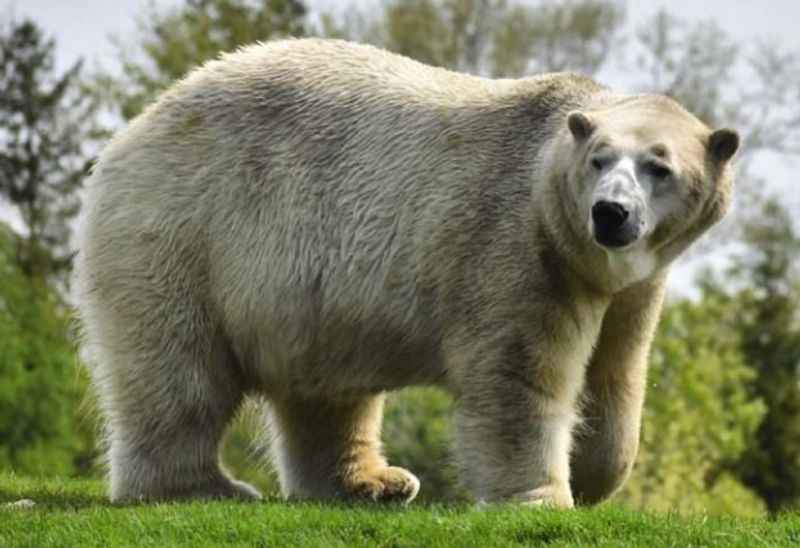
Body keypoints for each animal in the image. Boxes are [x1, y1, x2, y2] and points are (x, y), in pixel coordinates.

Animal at [73, 39, 736, 510]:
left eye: (660, 166)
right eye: (599, 160)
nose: (611, 213)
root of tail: (134, 130)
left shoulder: (633, 285)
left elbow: (616, 371)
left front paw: (597, 474)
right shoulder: (516, 243)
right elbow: (519, 374)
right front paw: (540, 498)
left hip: (302, 291)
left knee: (325, 393)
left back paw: (373, 482)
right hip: (183, 229)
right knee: (178, 371)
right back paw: (203, 486)